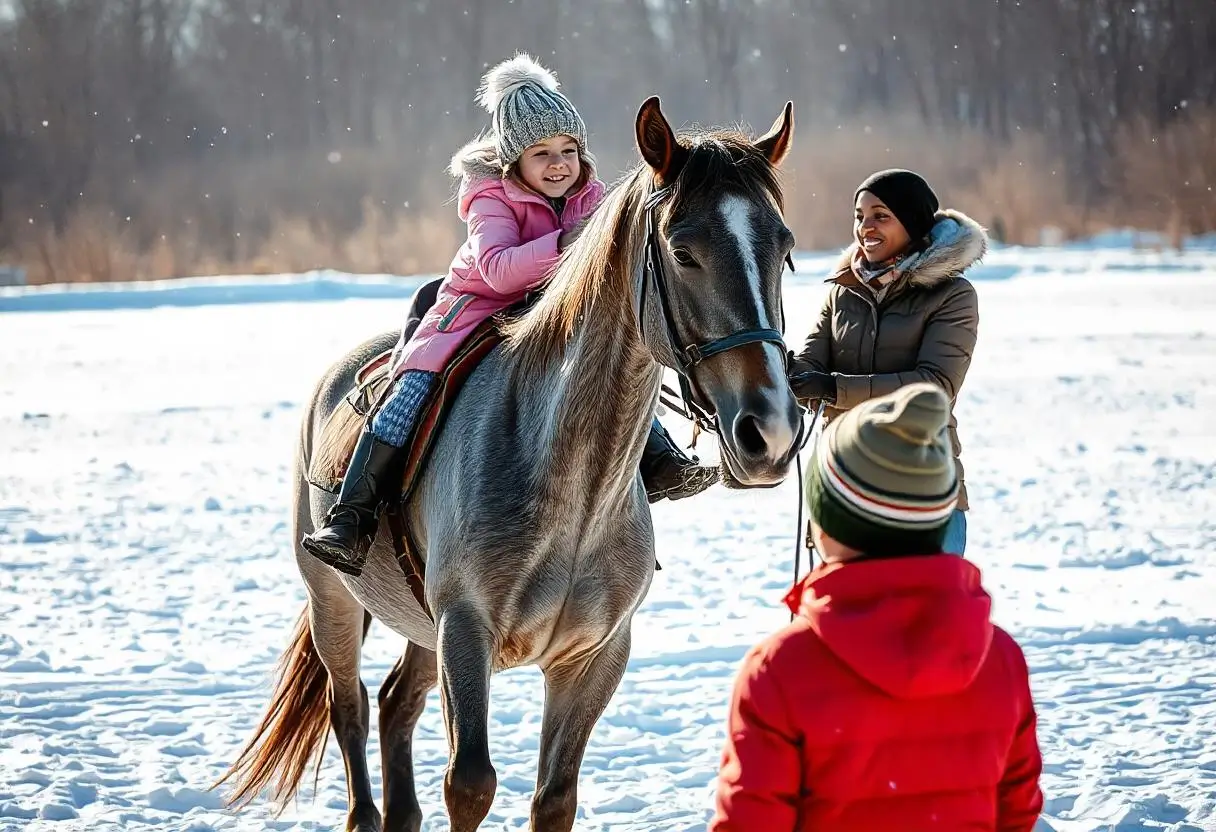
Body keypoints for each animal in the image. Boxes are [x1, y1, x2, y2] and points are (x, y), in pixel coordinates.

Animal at [218, 99, 807, 832]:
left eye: (783, 248)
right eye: (683, 251)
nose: (771, 430)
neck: (572, 486)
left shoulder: (595, 655)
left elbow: (554, 798)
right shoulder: (466, 631)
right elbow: (470, 783)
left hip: (421, 627)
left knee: (395, 703)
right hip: (332, 598)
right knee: (347, 706)